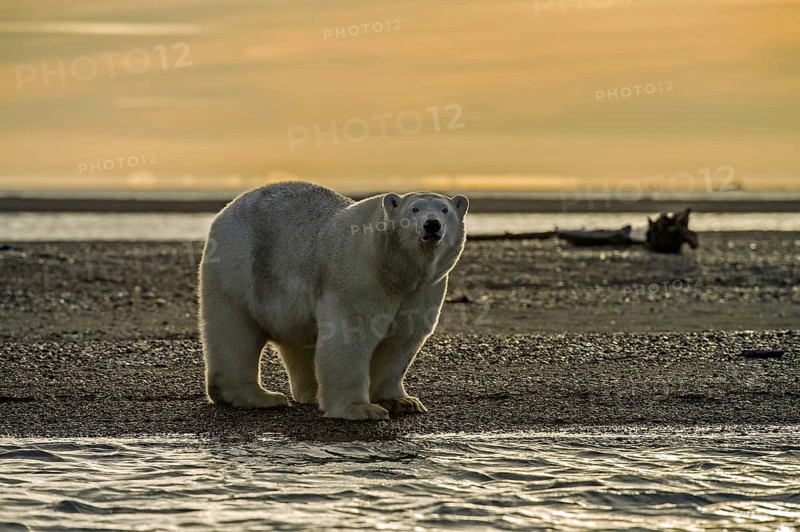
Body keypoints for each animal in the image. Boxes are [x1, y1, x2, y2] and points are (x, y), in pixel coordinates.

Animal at [198, 181, 469, 420]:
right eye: (414, 209)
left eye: (445, 210)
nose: (432, 225)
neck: (395, 272)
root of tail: (226, 210)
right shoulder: (359, 275)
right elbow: (350, 336)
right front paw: (360, 409)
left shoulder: (422, 290)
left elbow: (400, 342)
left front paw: (403, 402)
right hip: (236, 266)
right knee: (235, 331)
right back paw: (258, 396)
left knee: (299, 340)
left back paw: (309, 393)